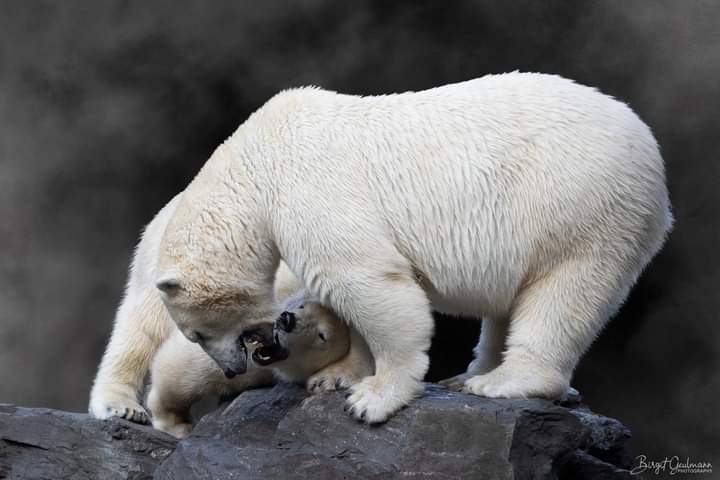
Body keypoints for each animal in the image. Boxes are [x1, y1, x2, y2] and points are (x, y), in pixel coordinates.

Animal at [158, 73, 676, 422]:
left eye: (195, 334)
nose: (232, 370)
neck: (256, 163)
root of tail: (648, 143)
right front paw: (340, 375)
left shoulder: (310, 190)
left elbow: (365, 278)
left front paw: (373, 398)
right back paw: (468, 374)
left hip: (578, 204)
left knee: (565, 292)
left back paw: (504, 382)